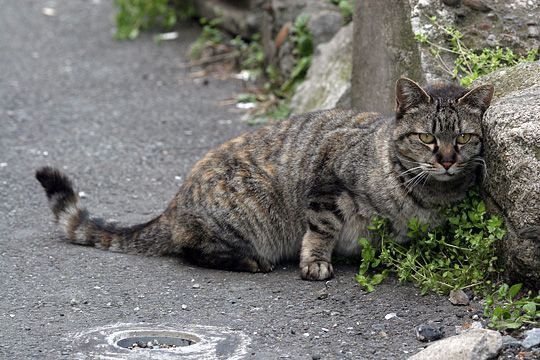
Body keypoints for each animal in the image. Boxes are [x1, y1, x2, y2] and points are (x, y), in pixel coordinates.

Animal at [34, 79, 494, 282]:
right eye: (427, 138)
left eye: (464, 138)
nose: (448, 160)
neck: (430, 195)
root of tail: (172, 205)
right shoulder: (326, 179)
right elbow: (321, 229)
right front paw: (316, 263)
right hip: (241, 211)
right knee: (192, 249)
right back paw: (250, 261)